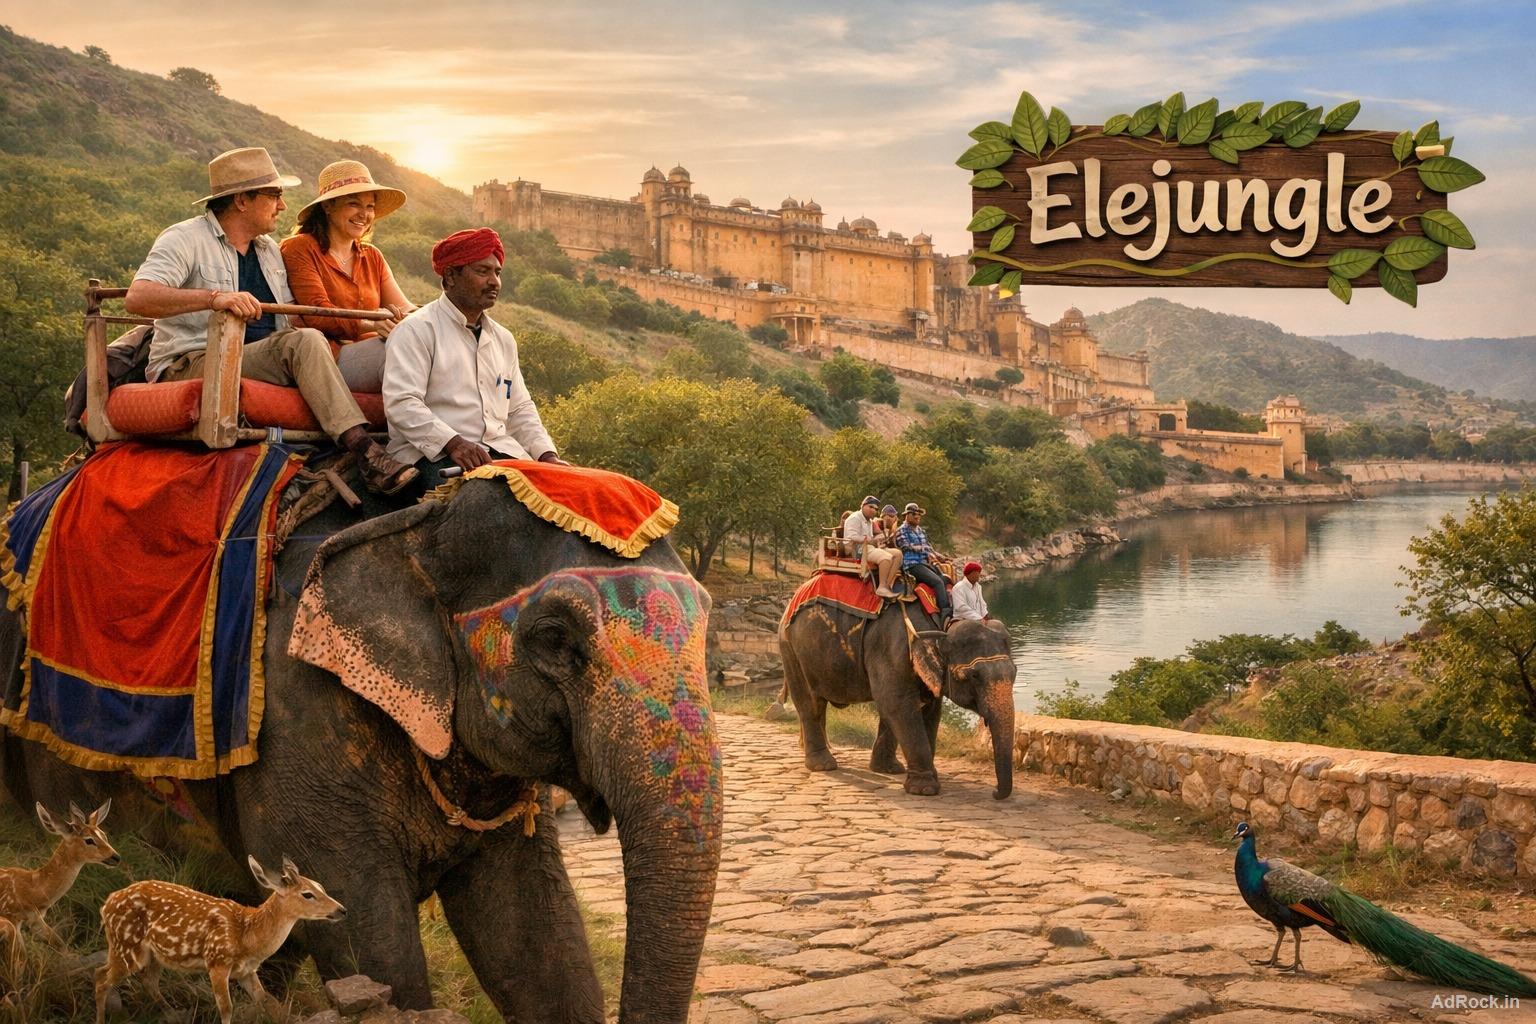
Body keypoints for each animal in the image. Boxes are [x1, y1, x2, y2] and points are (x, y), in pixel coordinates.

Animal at [779, 600, 1017, 799]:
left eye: (1014, 672)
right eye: (974, 676)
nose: (995, 792)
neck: (939, 621)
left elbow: (929, 711)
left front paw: (913, 774)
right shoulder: (892, 648)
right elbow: (896, 703)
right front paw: (924, 789)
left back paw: (885, 768)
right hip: (790, 649)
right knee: (810, 704)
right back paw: (823, 765)